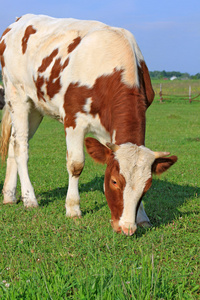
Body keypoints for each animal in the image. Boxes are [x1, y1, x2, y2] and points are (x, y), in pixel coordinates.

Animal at [0, 14, 177, 234]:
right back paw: (29, 199)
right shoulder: (73, 119)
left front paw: (142, 217)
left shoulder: (110, 129)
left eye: (147, 187)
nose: (126, 228)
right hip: (17, 96)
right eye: (114, 181)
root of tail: (19, 20)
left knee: (14, 142)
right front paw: (73, 208)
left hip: (36, 106)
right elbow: (76, 164)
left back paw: (9, 195)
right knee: (21, 147)